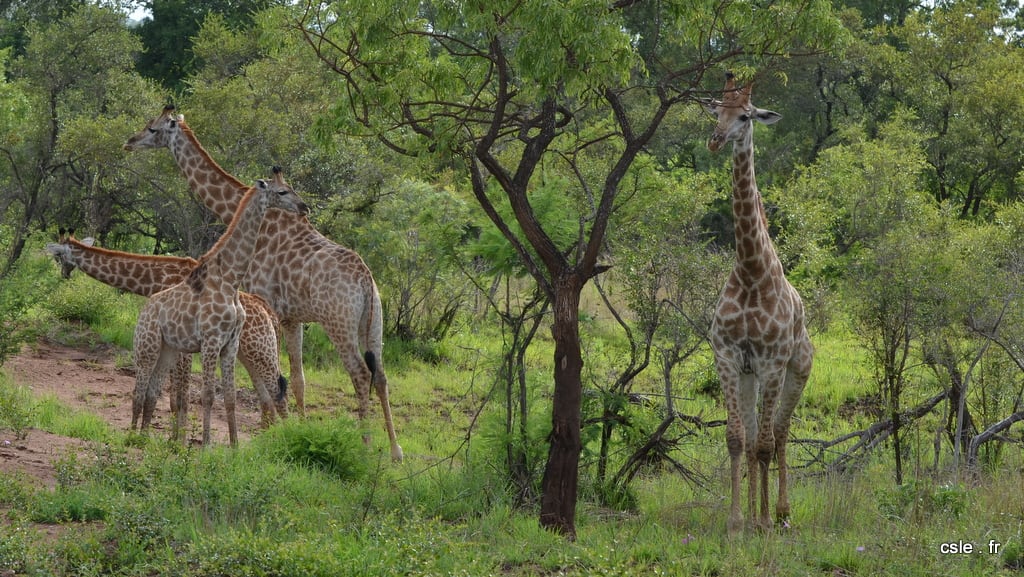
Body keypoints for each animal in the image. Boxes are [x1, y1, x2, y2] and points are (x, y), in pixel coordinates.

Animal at [45, 231, 288, 434]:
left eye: (58, 255)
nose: (63, 273)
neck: (154, 280)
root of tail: (269, 312)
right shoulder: (175, 342)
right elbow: (173, 398)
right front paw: (173, 440)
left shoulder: (183, 346)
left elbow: (182, 396)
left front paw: (178, 442)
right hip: (248, 354)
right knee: (267, 399)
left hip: (261, 351)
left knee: (280, 397)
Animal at [132, 178, 307, 448]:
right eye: (282, 192)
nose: (303, 207)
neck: (230, 281)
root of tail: (143, 311)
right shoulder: (210, 341)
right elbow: (207, 395)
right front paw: (206, 445)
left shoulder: (231, 344)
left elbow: (230, 397)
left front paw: (234, 446)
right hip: (146, 346)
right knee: (138, 392)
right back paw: (131, 437)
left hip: (167, 350)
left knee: (152, 391)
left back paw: (144, 437)